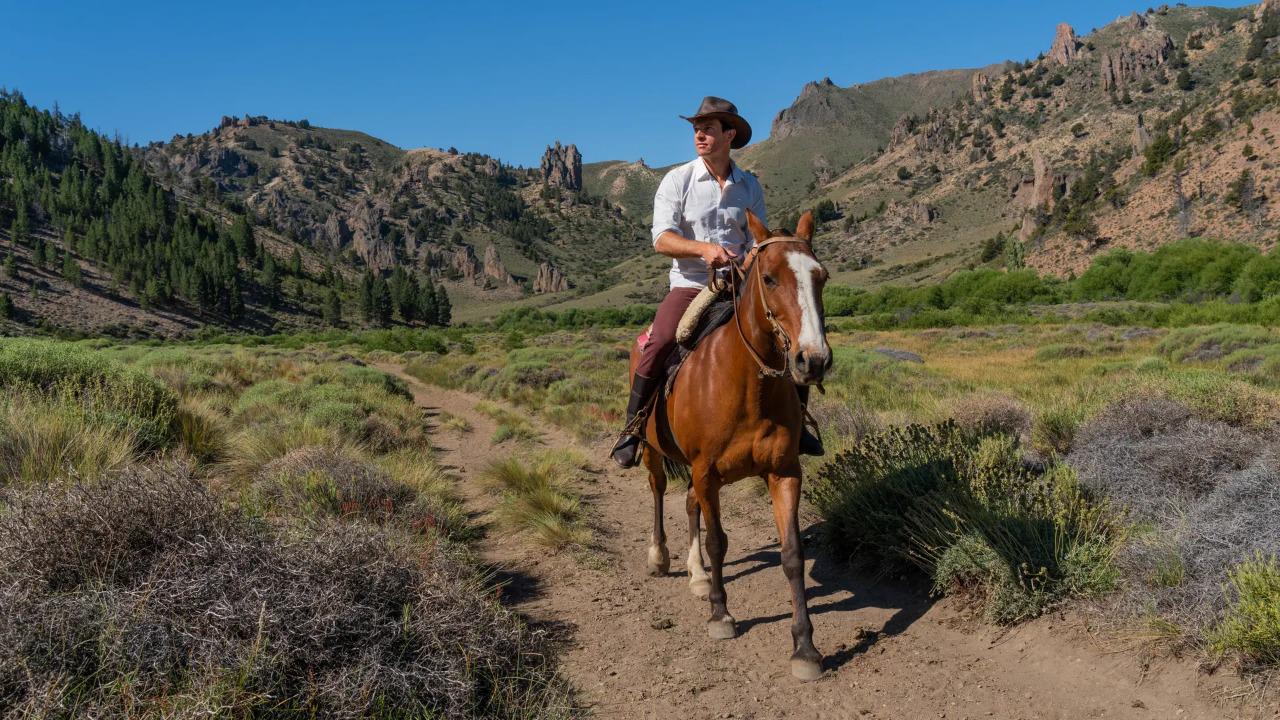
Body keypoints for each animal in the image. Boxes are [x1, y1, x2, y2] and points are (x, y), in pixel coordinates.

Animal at [627, 208, 829, 676]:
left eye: (821, 277)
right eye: (769, 278)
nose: (813, 360)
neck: (748, 385)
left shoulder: (783, 472)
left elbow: (792, 553)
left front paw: (804, 646)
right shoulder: (705, 471)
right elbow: (718, 541)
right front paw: (721, 615)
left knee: (688, 505)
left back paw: (698, 575)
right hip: (654, 453)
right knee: (659, 492)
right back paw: (660, 557)